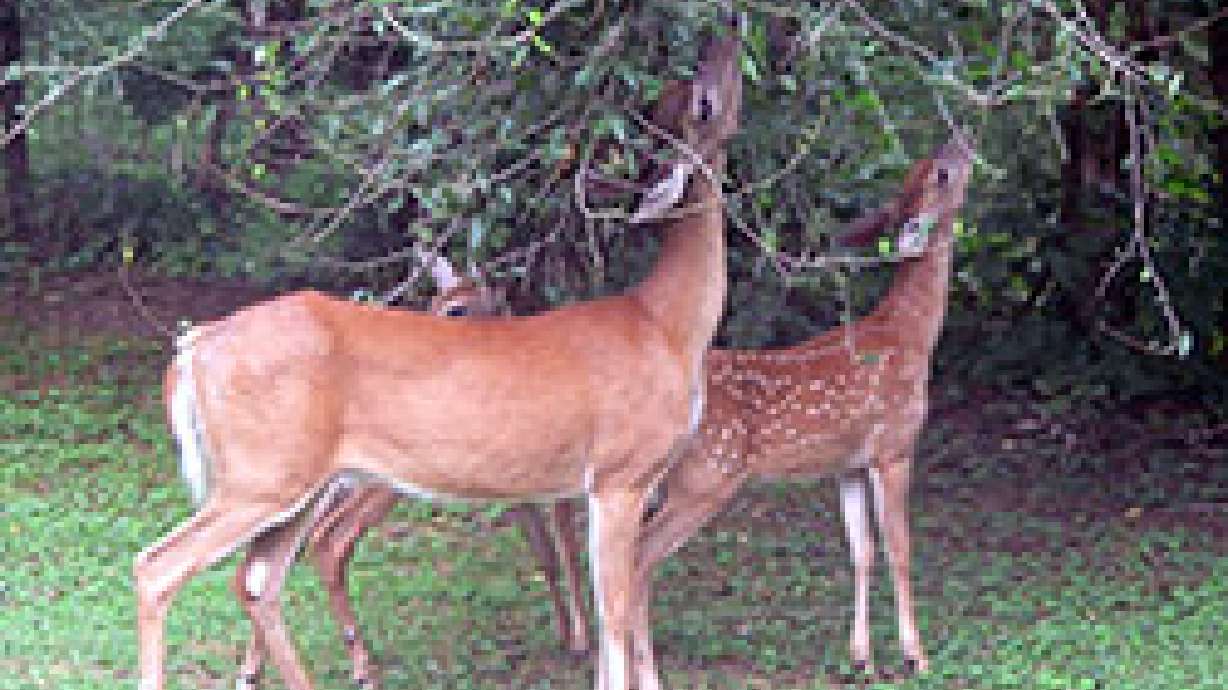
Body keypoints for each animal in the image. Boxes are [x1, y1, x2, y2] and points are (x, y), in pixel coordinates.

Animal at [133, 32, 741, 690]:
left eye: (675, 95)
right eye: (703, 100)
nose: (725, 40)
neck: (667, 325)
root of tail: (195, 345)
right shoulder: (619, 473)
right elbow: (617, 614)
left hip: (291, 481)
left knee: (258, 583)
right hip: (261, 474)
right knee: (159, 567)